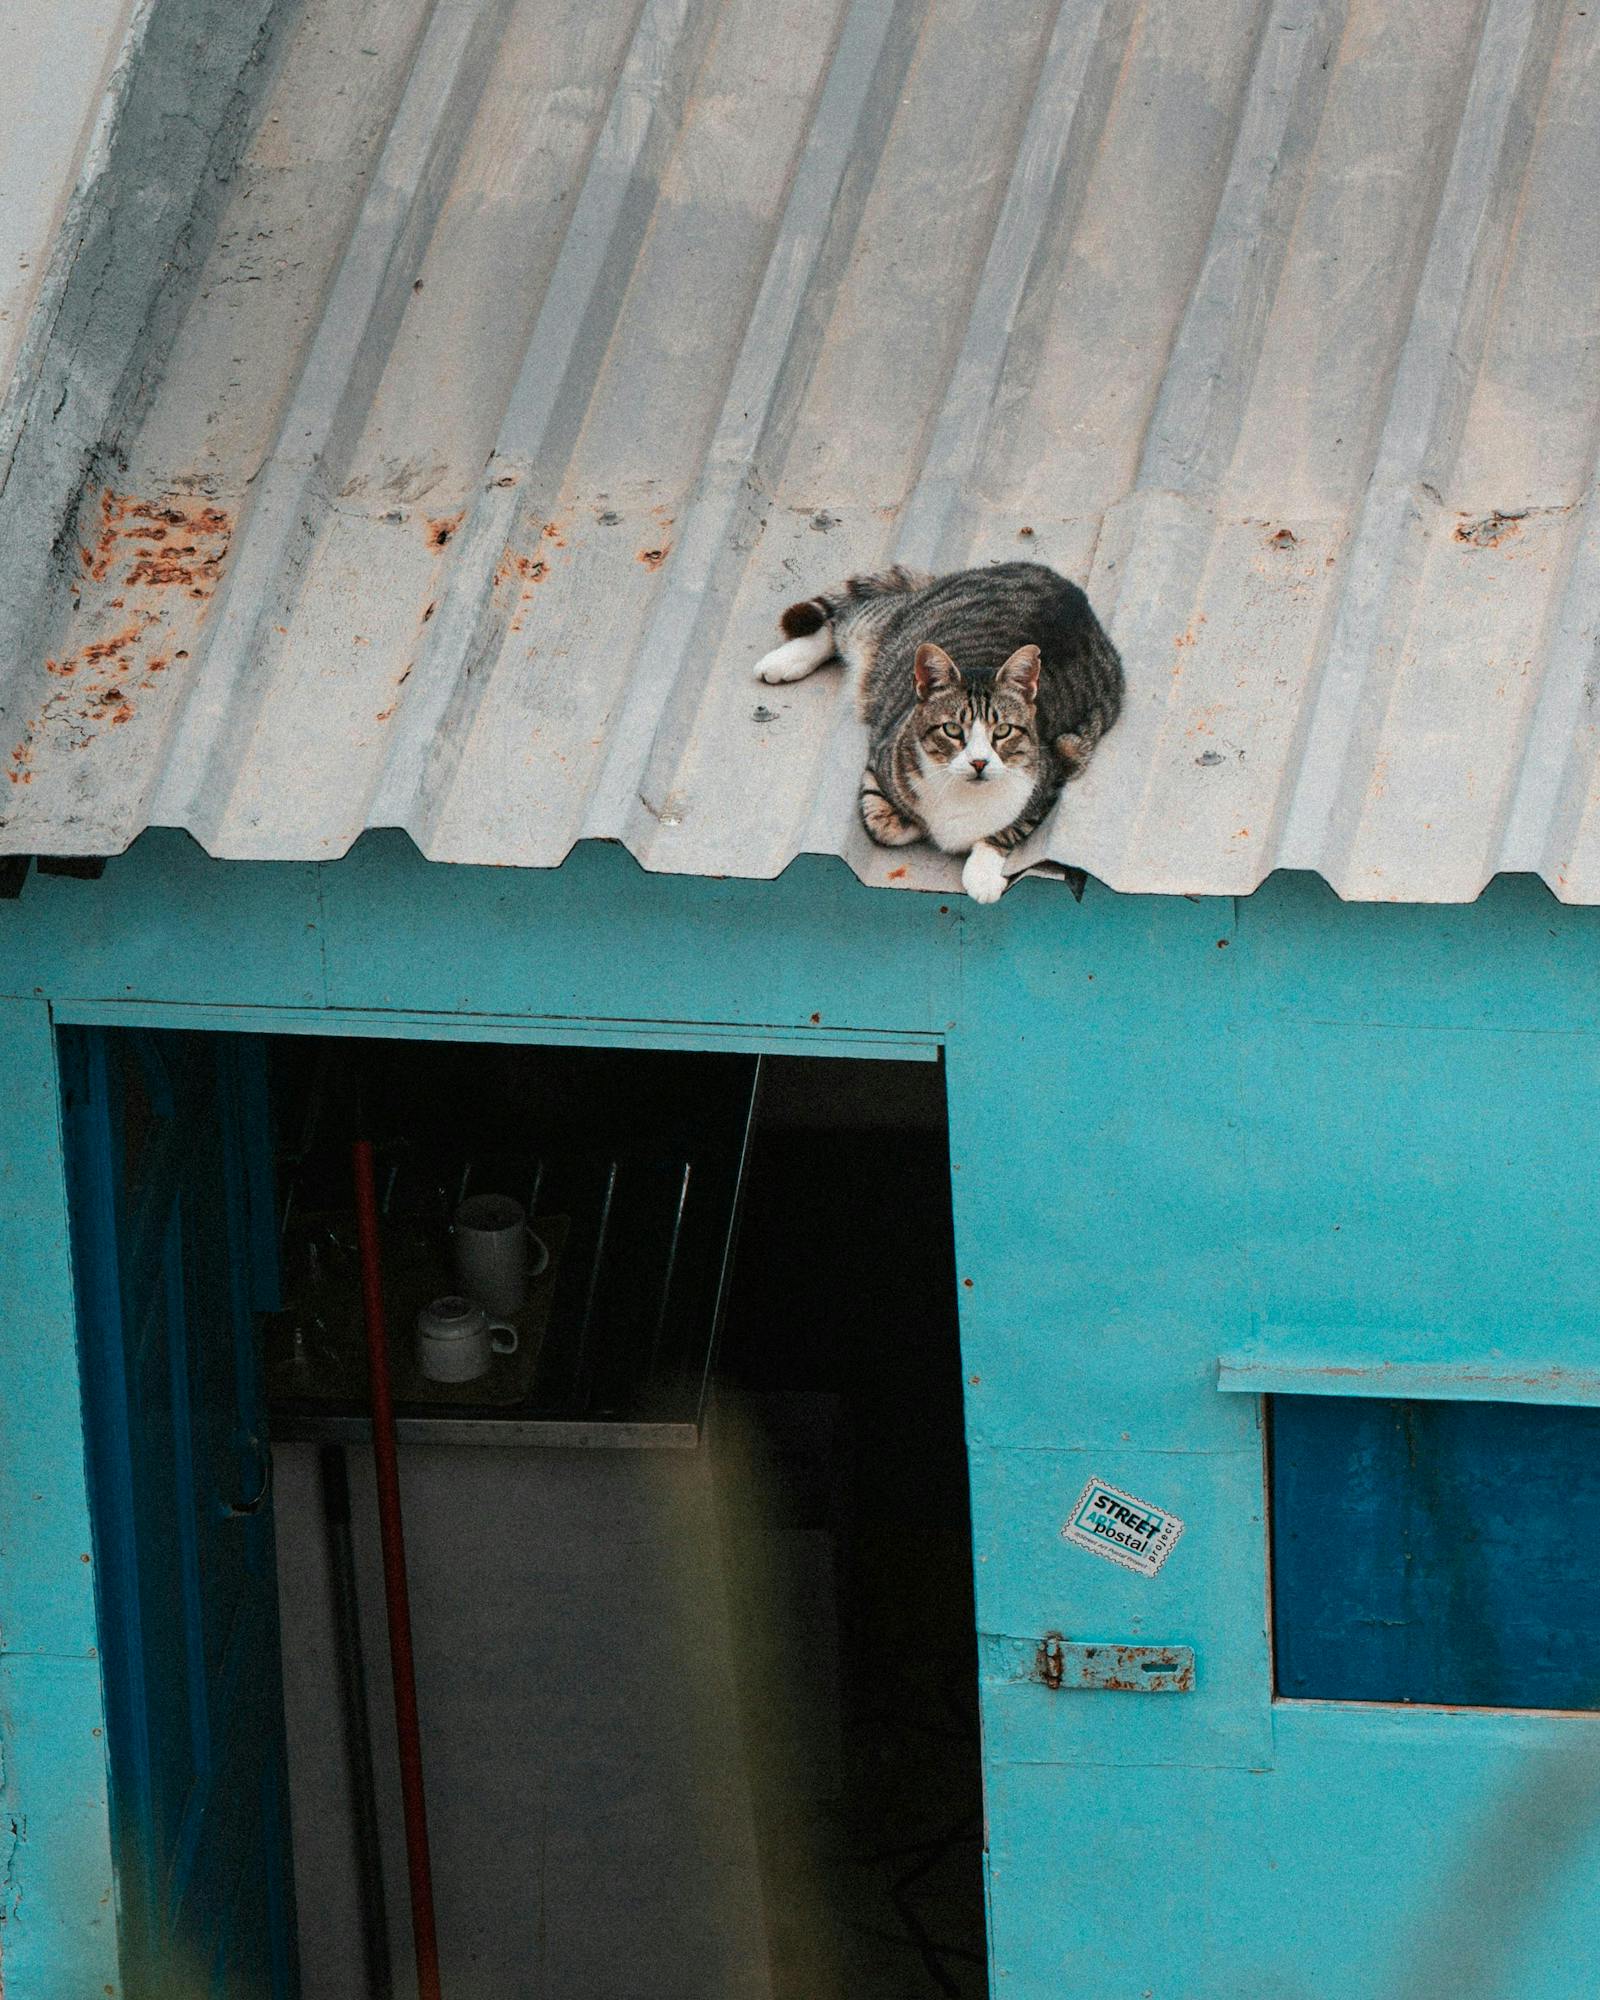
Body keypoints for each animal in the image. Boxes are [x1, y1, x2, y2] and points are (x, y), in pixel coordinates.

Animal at [752, 564, 1120, 908]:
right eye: (952, 729)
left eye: (1002, 730)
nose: (979, 762)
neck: (965, 794)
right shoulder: (882, 754)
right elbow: (883, 824)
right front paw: (914, 824)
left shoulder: (1059, 763)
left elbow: (1006, 830)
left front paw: (982, 875)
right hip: (882, 631)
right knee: (846, 619)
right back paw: (783, 661)